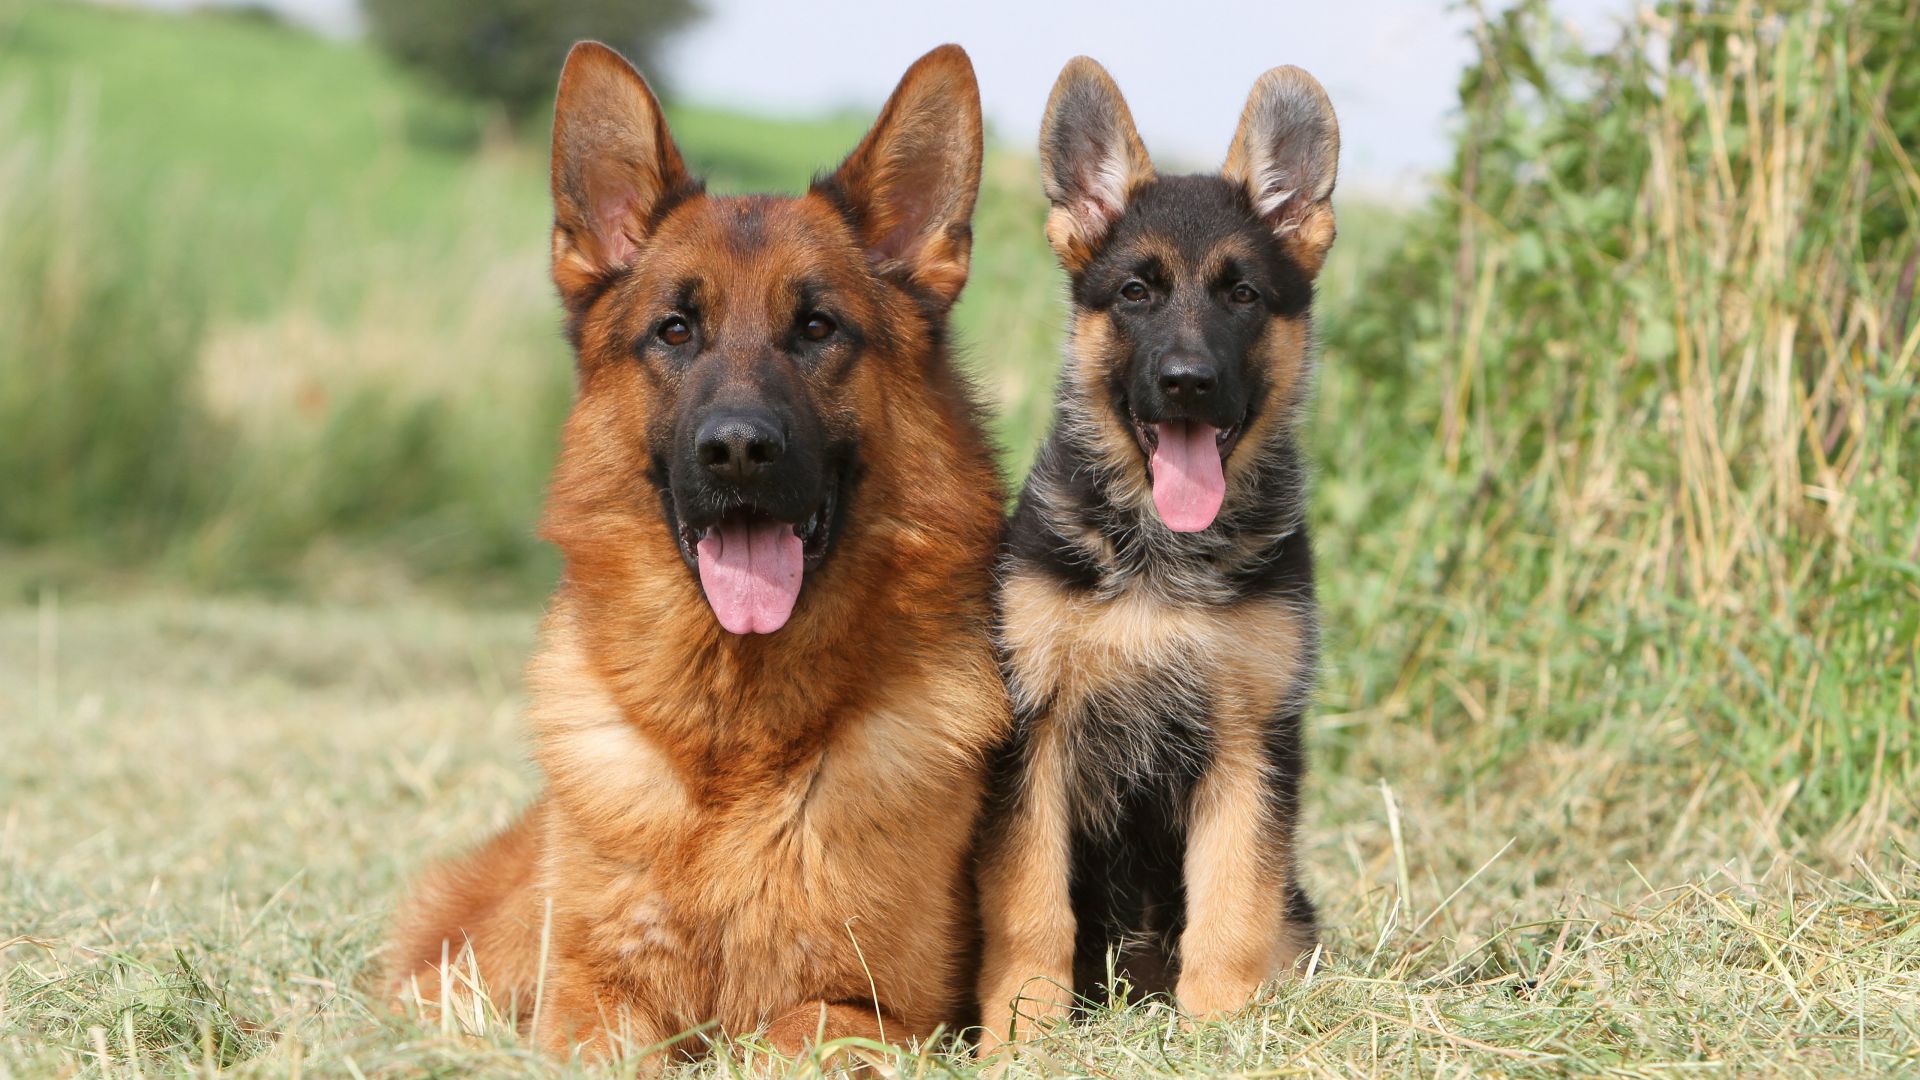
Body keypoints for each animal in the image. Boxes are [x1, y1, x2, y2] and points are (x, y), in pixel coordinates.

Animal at [374, 42, 1006, 1060]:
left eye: (817, 327)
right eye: (676, 330)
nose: (738, 449)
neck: (733, 743)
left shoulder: (874, 1012)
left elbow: (788, 1038)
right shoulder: (591, 995)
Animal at [975, 58, 1336, 1045]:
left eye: (1242, 295)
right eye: (1136, 292)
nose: (1187, 384)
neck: (1158, 558)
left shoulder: (1252, 745)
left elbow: (1232, 903)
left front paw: (1220, 1027)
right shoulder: (1034, 734)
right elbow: (1031, 902)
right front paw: (1022, 1029)